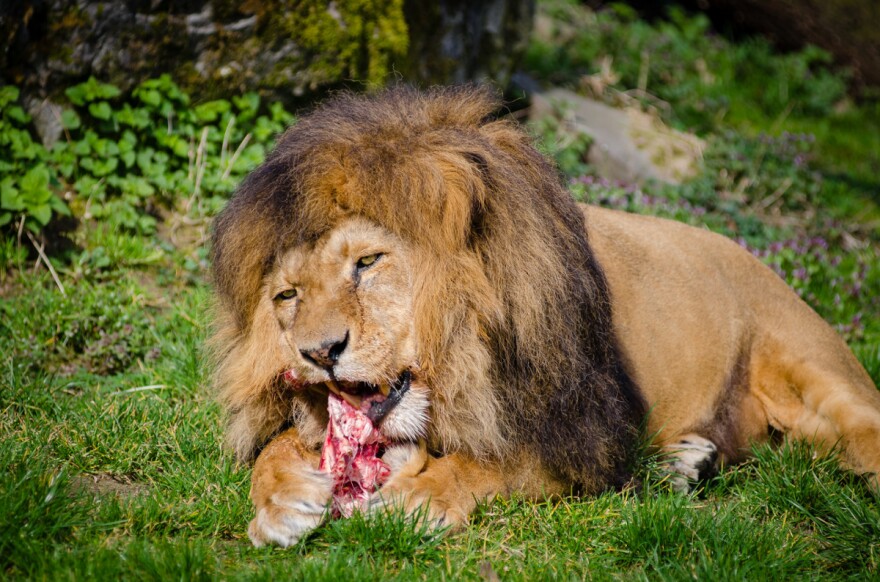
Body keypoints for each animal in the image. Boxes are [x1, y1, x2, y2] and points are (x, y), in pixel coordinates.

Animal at [209, 86, 880, 548]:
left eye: (368, 262)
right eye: (287, 296)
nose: (319, 353)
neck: (459, 360)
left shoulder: (579, 434)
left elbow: (489, 463)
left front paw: (419, 496)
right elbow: (276, 447)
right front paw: (281, 502)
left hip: (818, 370)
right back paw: (686, 462)